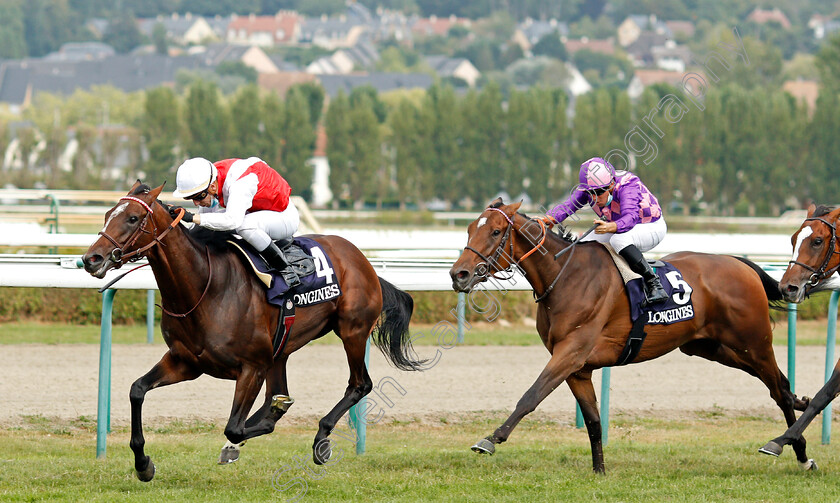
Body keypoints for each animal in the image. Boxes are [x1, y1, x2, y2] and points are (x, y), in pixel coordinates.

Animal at [82, 183, 424, 482]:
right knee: (281, 391)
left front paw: (250, 432)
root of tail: (361, 258)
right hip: (281, 350)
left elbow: (234, 426)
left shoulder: (251, 367)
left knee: (359, 384)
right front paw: (143, 465)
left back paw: (321, 438)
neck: (205, 288)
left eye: (132, 218)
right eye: (107, 213)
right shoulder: (185, 362)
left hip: (351, 330)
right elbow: (137, 390)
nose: (91, 259)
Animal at [452, 200, 812, 472]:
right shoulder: (577, 367)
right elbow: (593, 421)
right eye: (469, 229)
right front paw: (599, 470)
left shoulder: (570, 353)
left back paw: (797, 452)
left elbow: (531, 396)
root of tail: (742, 264)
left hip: (754, 342)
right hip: (712, 348)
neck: (566, 276)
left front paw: (490, 439)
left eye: (495, 231)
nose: (459, 274)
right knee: (777, 385)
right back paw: (800, 406)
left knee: (778, 389)